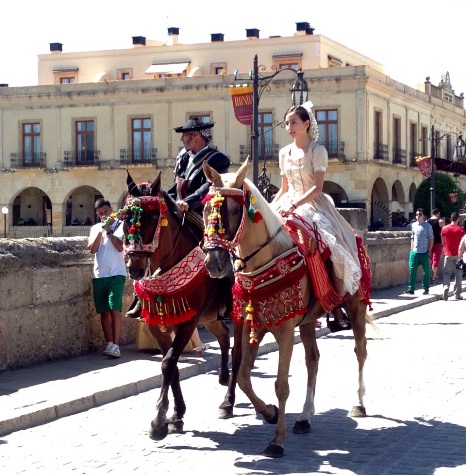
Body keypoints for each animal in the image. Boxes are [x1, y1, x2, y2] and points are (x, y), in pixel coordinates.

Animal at [122, 172, 242, 442]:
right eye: (125, 219)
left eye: (153, 217)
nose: (135, 268)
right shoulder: (158, 323)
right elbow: (172, 365)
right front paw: (176, 415)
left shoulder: (187, 322)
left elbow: (168, 363)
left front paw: (159, 420)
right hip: (210, 317)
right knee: (224, 337)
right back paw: (223, 377)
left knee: (238, 352)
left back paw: (228, 402)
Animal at [200, 160, 372, 458]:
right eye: (206, 208)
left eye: (233, 210)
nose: (215, 263)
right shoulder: (252, 326)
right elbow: (243, 377)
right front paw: (269, 413)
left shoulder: (283, 330)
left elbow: (281, 385)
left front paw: (276, 440)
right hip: (307, 321)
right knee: (313, 360)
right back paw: (304, 417)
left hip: (355, 305)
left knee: (360, 351)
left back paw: (359, 404)